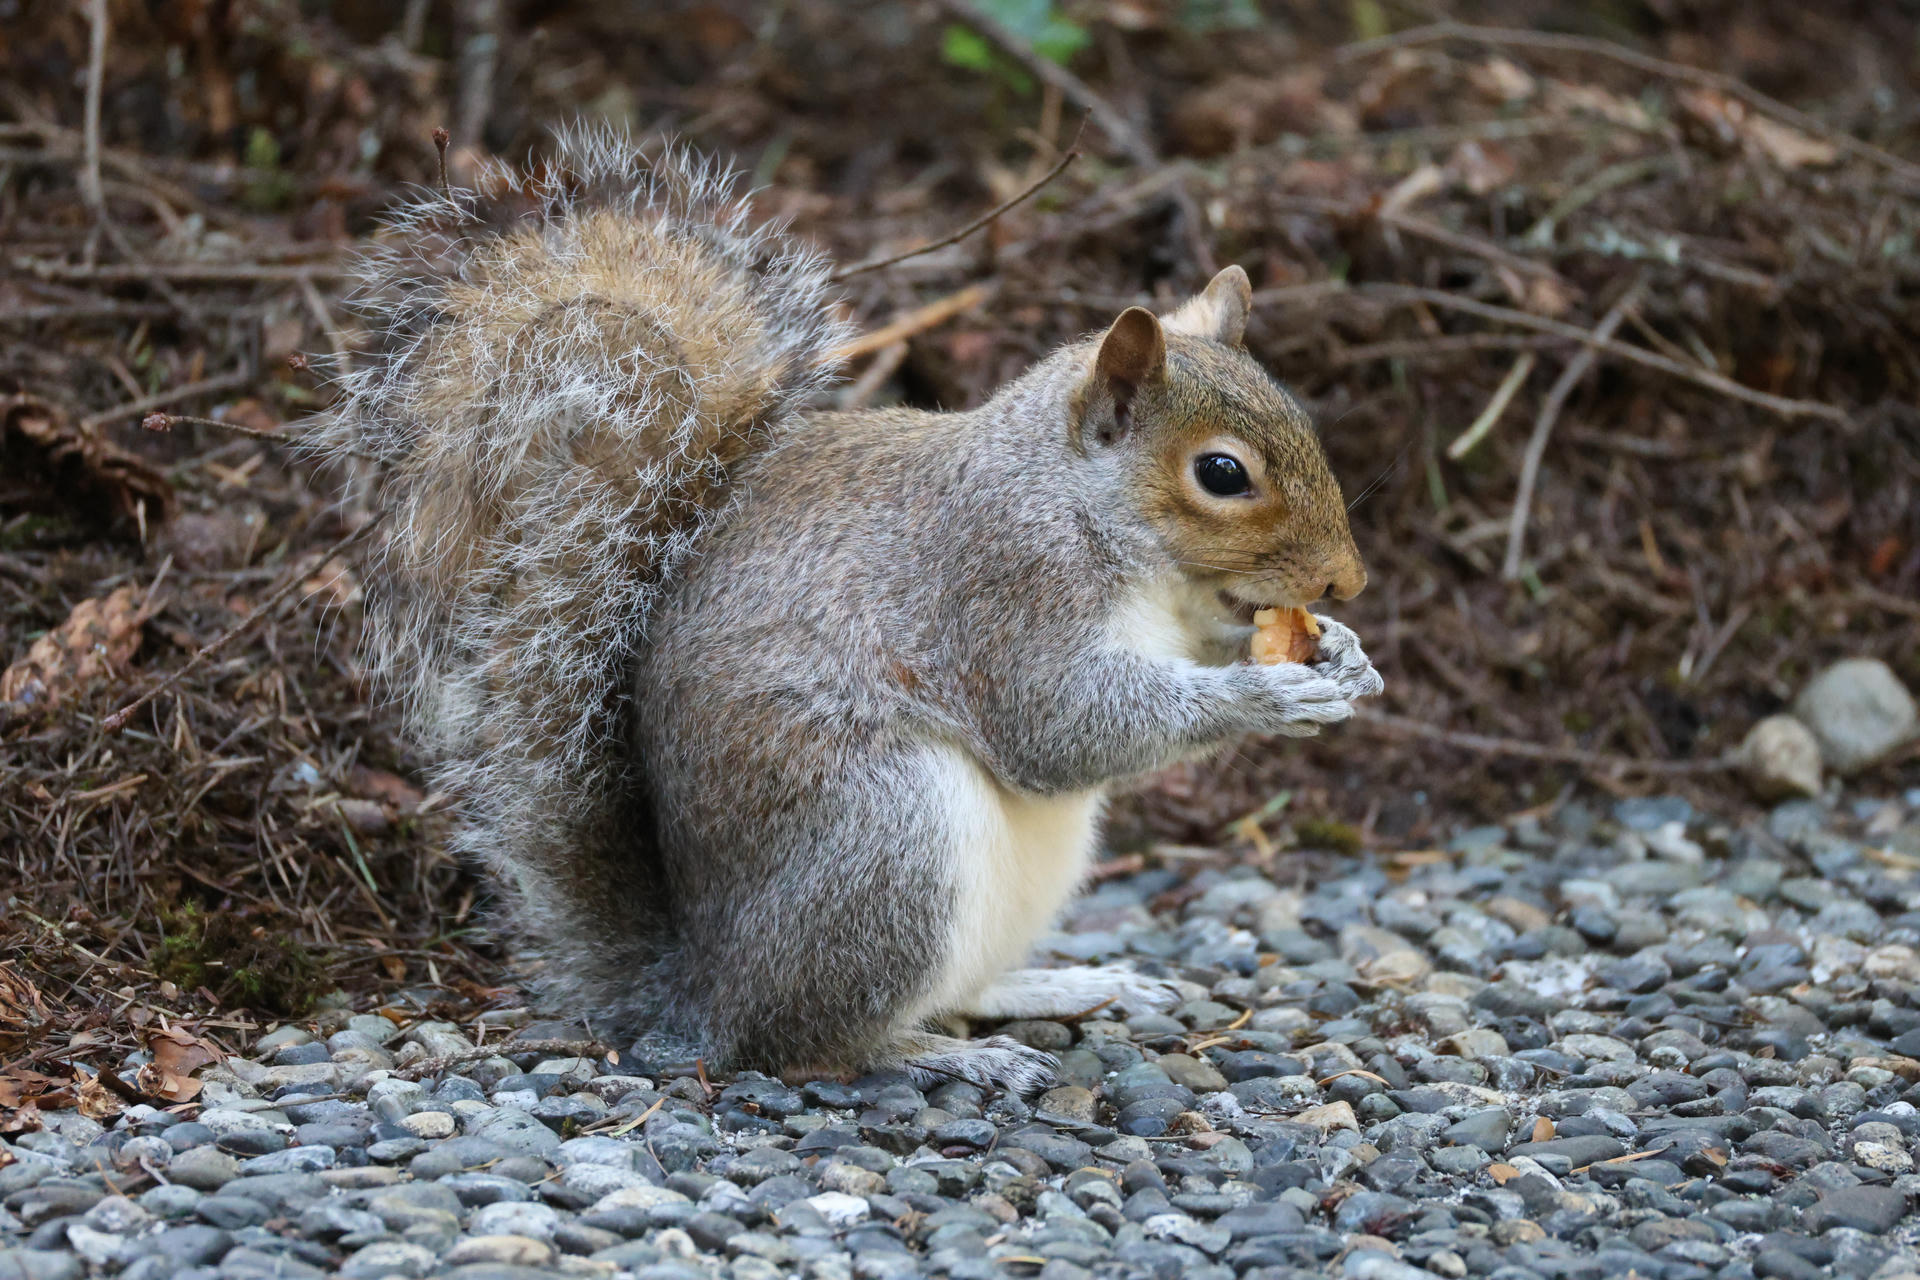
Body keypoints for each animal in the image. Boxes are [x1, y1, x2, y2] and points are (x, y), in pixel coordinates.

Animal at [316, 126, 1383, 1092]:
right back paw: (941, 1055)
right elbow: (1060, 723)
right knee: (802, 1041)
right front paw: (1264, 698)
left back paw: (1059, 986)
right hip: (887, 836)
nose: (1347, 582)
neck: (1086, 509)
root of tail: (701, 986)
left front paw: (1344, 657)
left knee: (951, 987)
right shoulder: (1004, 587)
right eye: (1221, 474)